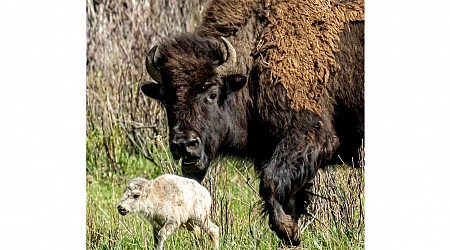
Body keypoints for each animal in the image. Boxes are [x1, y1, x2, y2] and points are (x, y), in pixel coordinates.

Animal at [142, 0, 364, 245]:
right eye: (165, 99)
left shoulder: (310, 136)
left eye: (212, 93)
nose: (184, 144)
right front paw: (291, 232)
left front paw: (288, 231)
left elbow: (270, 184)